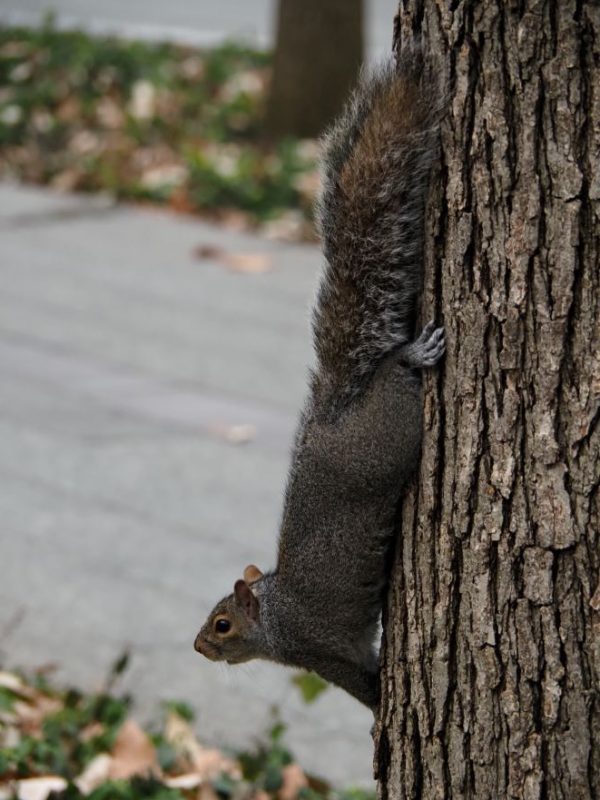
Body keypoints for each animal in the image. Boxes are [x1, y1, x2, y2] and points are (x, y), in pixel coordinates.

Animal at [195, 48, 442, 712]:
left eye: (222, 623)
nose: (197, 648)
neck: (276, 621)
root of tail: (338, 408)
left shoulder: (323, 654)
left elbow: (363, 684)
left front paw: (380, 706)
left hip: (392, 437)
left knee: (397, 379)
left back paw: (411, 354)